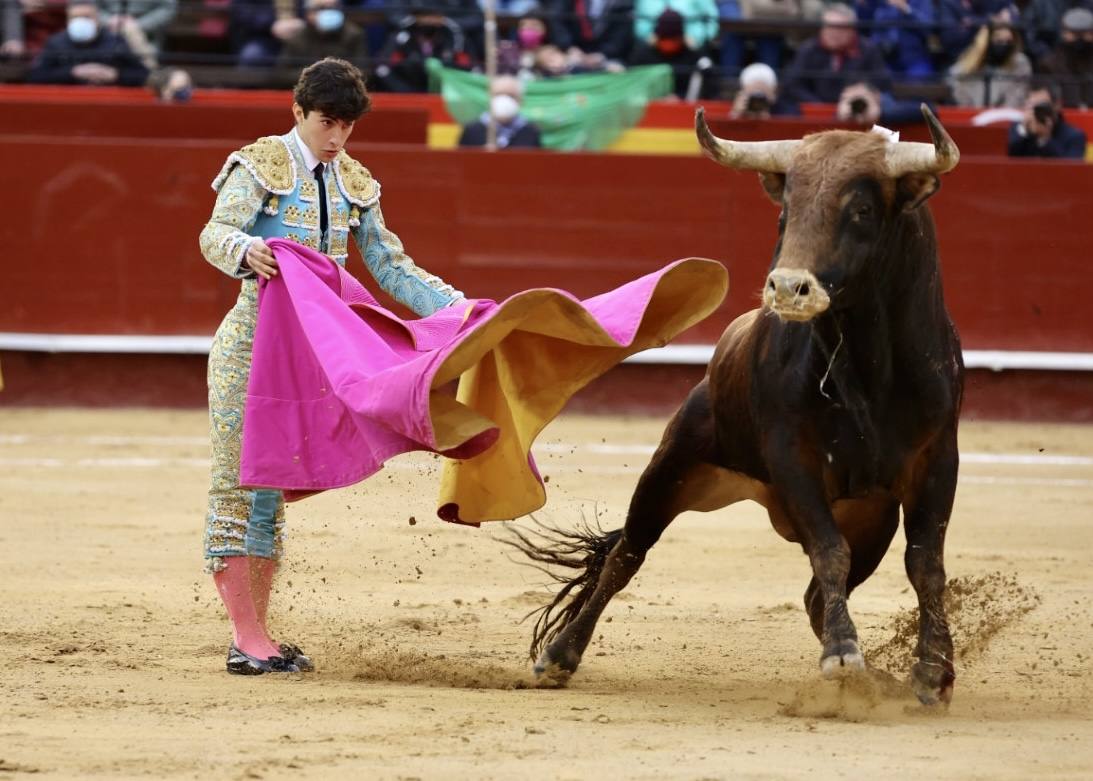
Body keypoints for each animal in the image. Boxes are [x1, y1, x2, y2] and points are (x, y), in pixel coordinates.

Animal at [511, 105, 966, 707]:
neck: (869, 369)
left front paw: (932, 672)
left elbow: (925, 564)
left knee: (818, 594)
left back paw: (878, 678)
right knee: (625, 556)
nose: (788, 288)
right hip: (673, 467)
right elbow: (830, 551)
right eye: (786, 212)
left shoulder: (938, 460)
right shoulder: (793, 457)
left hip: (871, 518)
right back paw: (560, 656)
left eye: (862, 210)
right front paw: (844, 656)